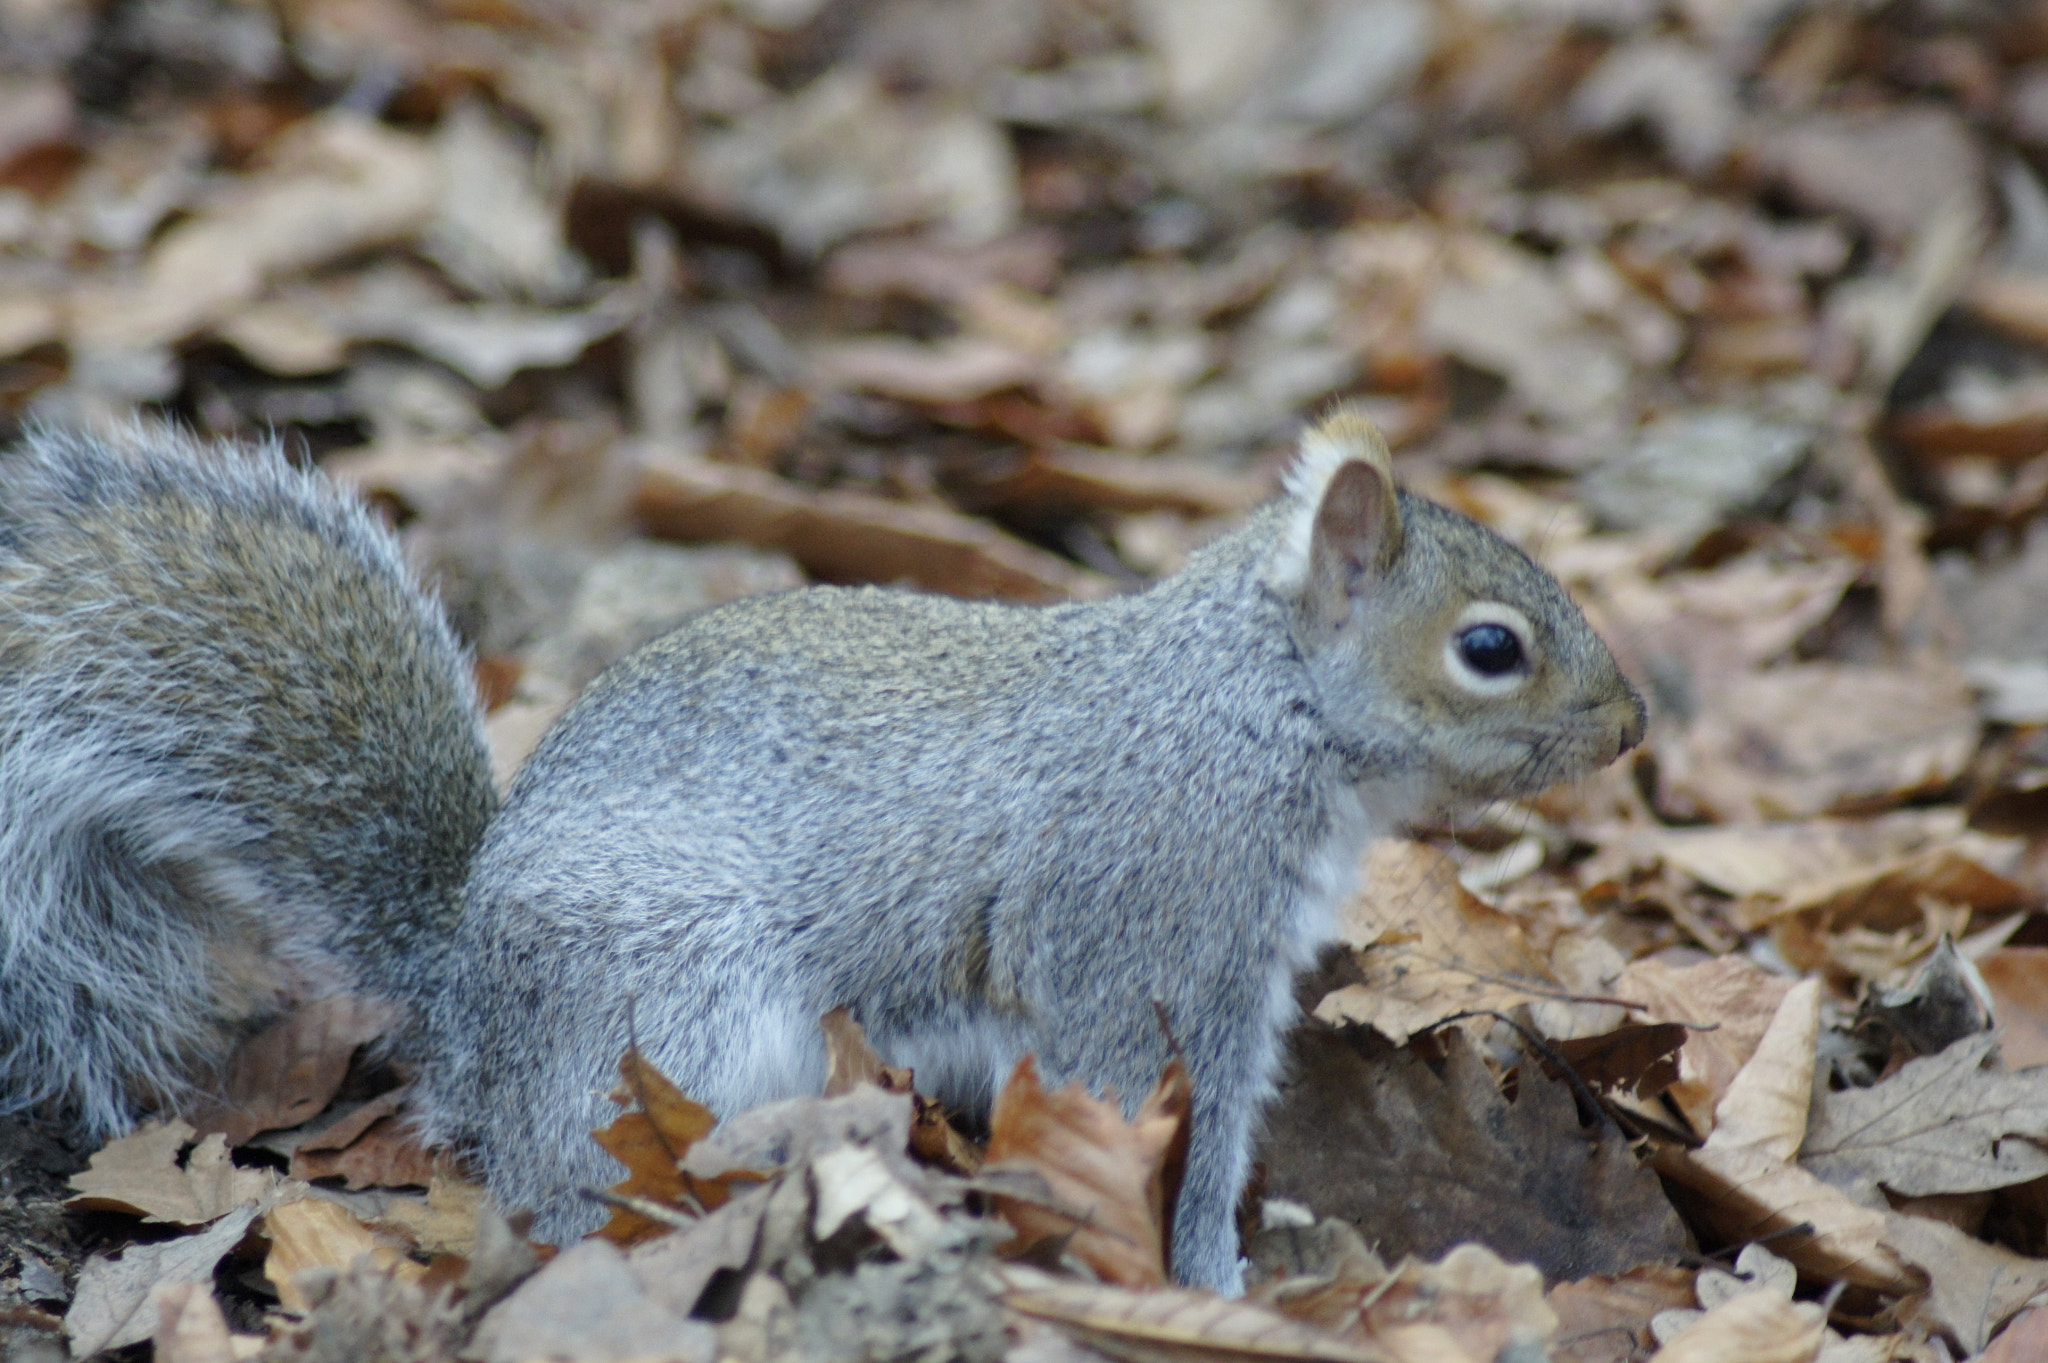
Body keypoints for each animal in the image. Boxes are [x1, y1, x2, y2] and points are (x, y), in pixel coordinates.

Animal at [0, 411, 1638, 1285]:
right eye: (1490, 647)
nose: (1627, 724)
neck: (1254, 712)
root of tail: (464, 986)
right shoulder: (1141, 930)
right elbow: (1138, 1097)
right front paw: (1203, 1279)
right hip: (674, 1014)